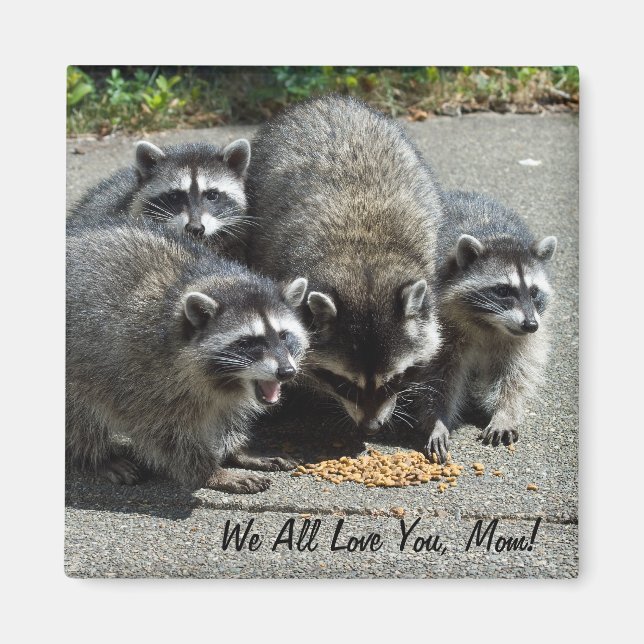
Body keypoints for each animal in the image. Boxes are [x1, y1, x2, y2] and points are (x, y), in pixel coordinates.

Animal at [66, 216, 309, 493]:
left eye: (283, 336)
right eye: (247, 342)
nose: (286, 372)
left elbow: (228, 413)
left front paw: (237, 449)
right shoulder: (143, 372)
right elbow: (165, 431)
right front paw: (210, 471)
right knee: (79, 416)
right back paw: (96, 456)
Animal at [419, 191, 557, 462]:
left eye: (534, 292)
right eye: (502, 291)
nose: (530, 324)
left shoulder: (525, 335)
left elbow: (516, 371)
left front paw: (505, 412)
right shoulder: (442, 323)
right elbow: (439, 373)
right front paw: (437, 420)